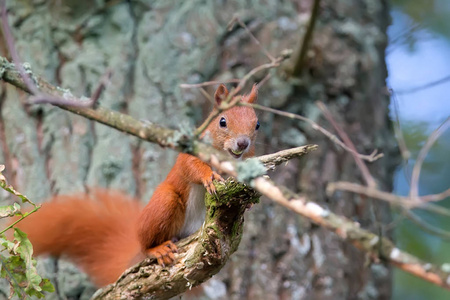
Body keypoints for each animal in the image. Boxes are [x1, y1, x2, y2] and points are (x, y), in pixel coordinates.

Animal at [14, 84, 258, 286]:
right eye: (222, 121)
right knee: (146, 243)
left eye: (257, 124)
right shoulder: (190, 152)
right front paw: (209, 176)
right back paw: (157, 249)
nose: (243, 143)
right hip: (164, 202)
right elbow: (191, 167)